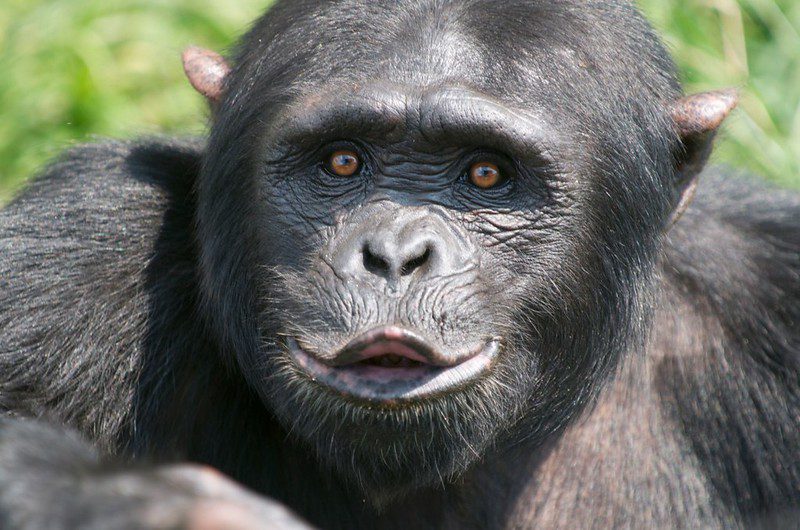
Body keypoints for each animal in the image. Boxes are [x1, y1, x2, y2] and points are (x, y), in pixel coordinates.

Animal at [1, 0, 800, 524]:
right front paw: (169, 509)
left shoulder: (772, 296)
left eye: (486, 174)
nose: (394, 254)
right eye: (342, 161)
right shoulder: (88, 242)